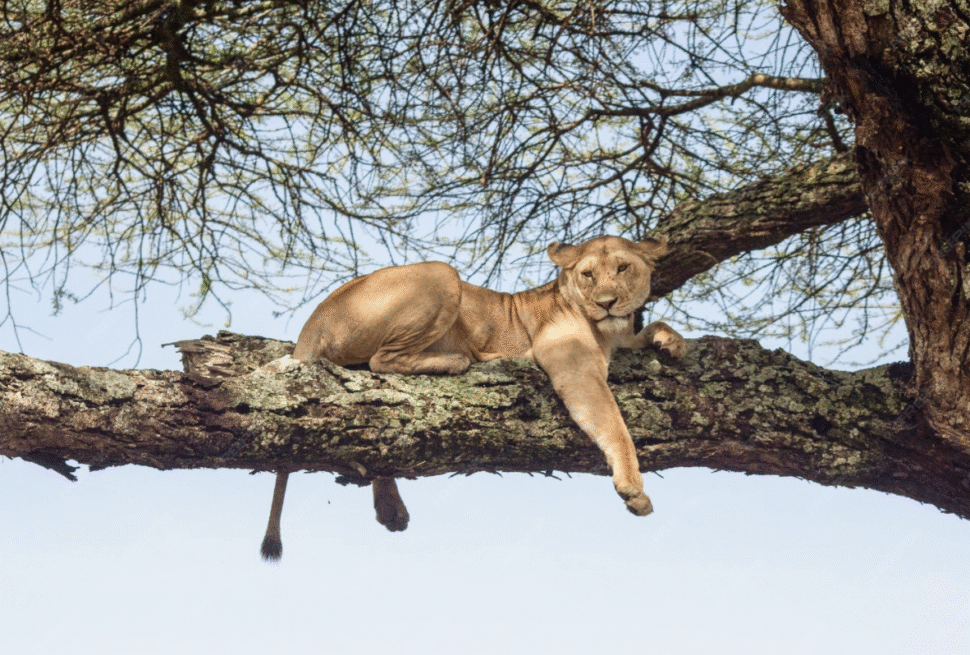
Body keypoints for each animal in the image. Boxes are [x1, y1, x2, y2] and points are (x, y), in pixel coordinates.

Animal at [260, 235, 687, 561]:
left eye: (623, 269)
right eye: (588, 274)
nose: (607, 302)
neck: (606, 330)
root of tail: (312, 322)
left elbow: (652, 326)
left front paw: (672, 341)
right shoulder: (575, 369)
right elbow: (614, 425)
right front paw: (633, 487)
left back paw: (392, 509)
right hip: (441, 274)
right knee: (384, 361)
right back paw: (459, 359)